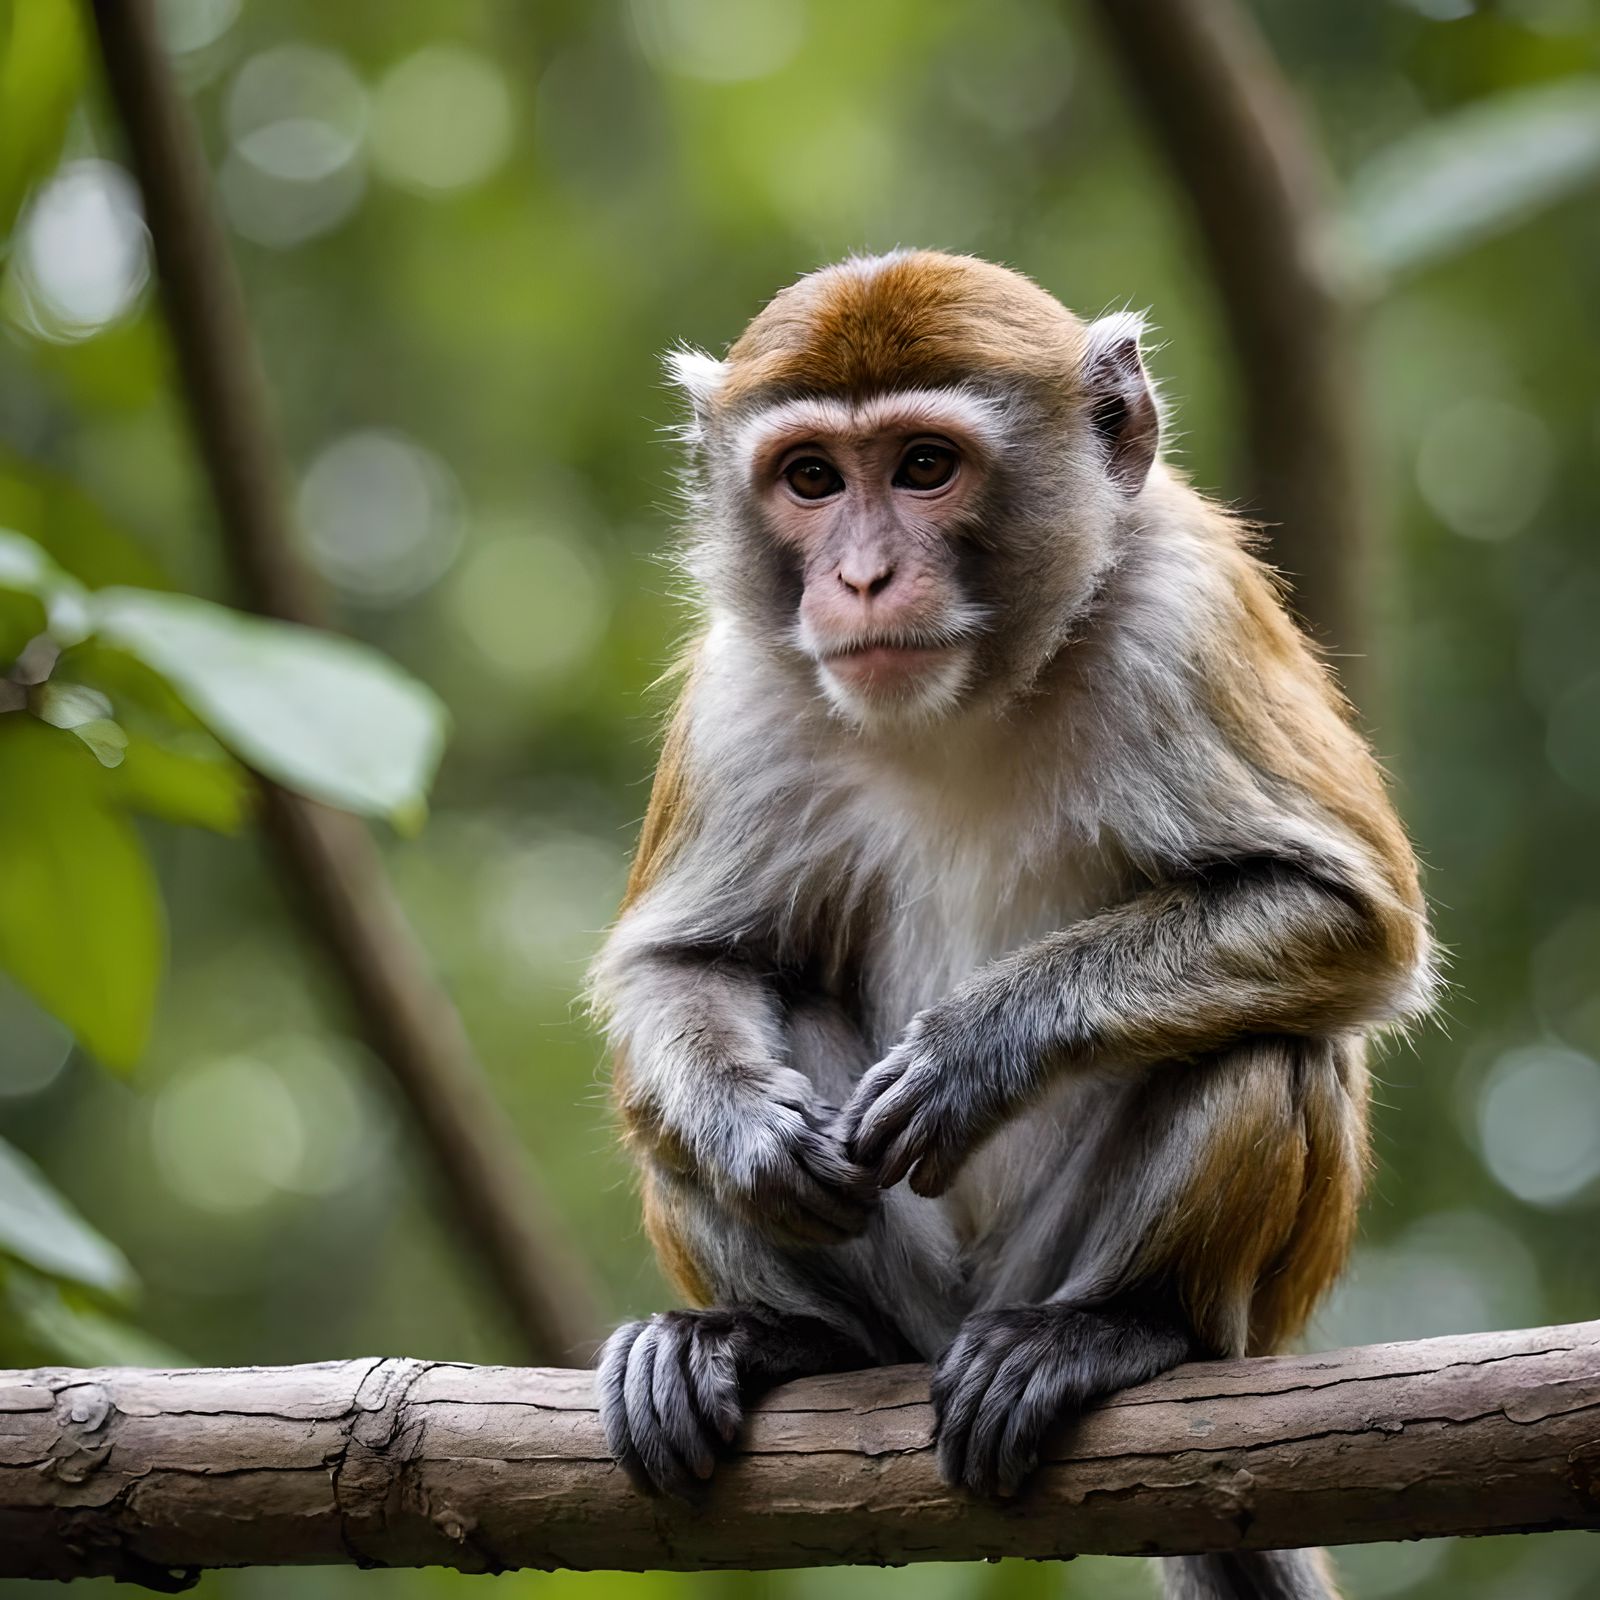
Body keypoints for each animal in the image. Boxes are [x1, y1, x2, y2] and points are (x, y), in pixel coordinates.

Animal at [589, 251, 1432, 1600]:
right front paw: (749, 1131)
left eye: (925, 465)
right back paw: (786, 1339)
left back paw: (1116, 1327)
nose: (860, 579)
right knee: (664, 1109)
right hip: (914, 1300)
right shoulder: (740, 688)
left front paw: (971, 1052)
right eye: (812, 478)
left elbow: (1345, 913)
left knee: (1267, 1048)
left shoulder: (1185, 613)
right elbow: (688, 960)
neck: (969, 696)